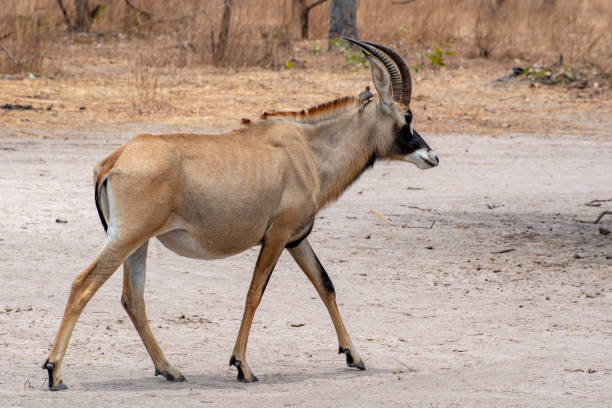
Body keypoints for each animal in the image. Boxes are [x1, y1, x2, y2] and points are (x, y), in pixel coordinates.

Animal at [43, 39, 440, 392]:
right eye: (407, 116)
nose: (431, 156)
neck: (308, 150)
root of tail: (114, 159)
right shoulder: (276, 237)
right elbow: (255, 293)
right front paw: (242, 366)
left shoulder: (297, 238)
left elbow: (325, 284)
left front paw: (353, 355)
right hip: (126, 237)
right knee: (83, 284)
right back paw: (55, 372)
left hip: (138, 243)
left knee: (133, 299)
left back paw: (170, 369)